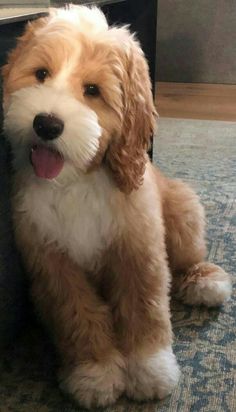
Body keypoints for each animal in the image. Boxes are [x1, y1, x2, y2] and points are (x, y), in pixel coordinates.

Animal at [1, 4, 230, 408]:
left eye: (92, 91)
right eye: (41, 74)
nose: (46, 124)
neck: (77, 180)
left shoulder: (138, 251)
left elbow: (144, 309)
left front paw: (150, 369)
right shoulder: (52, 263)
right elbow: (77, 317)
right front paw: (95, 374)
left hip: (183, 211)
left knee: (188, 258)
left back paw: (205, 281)